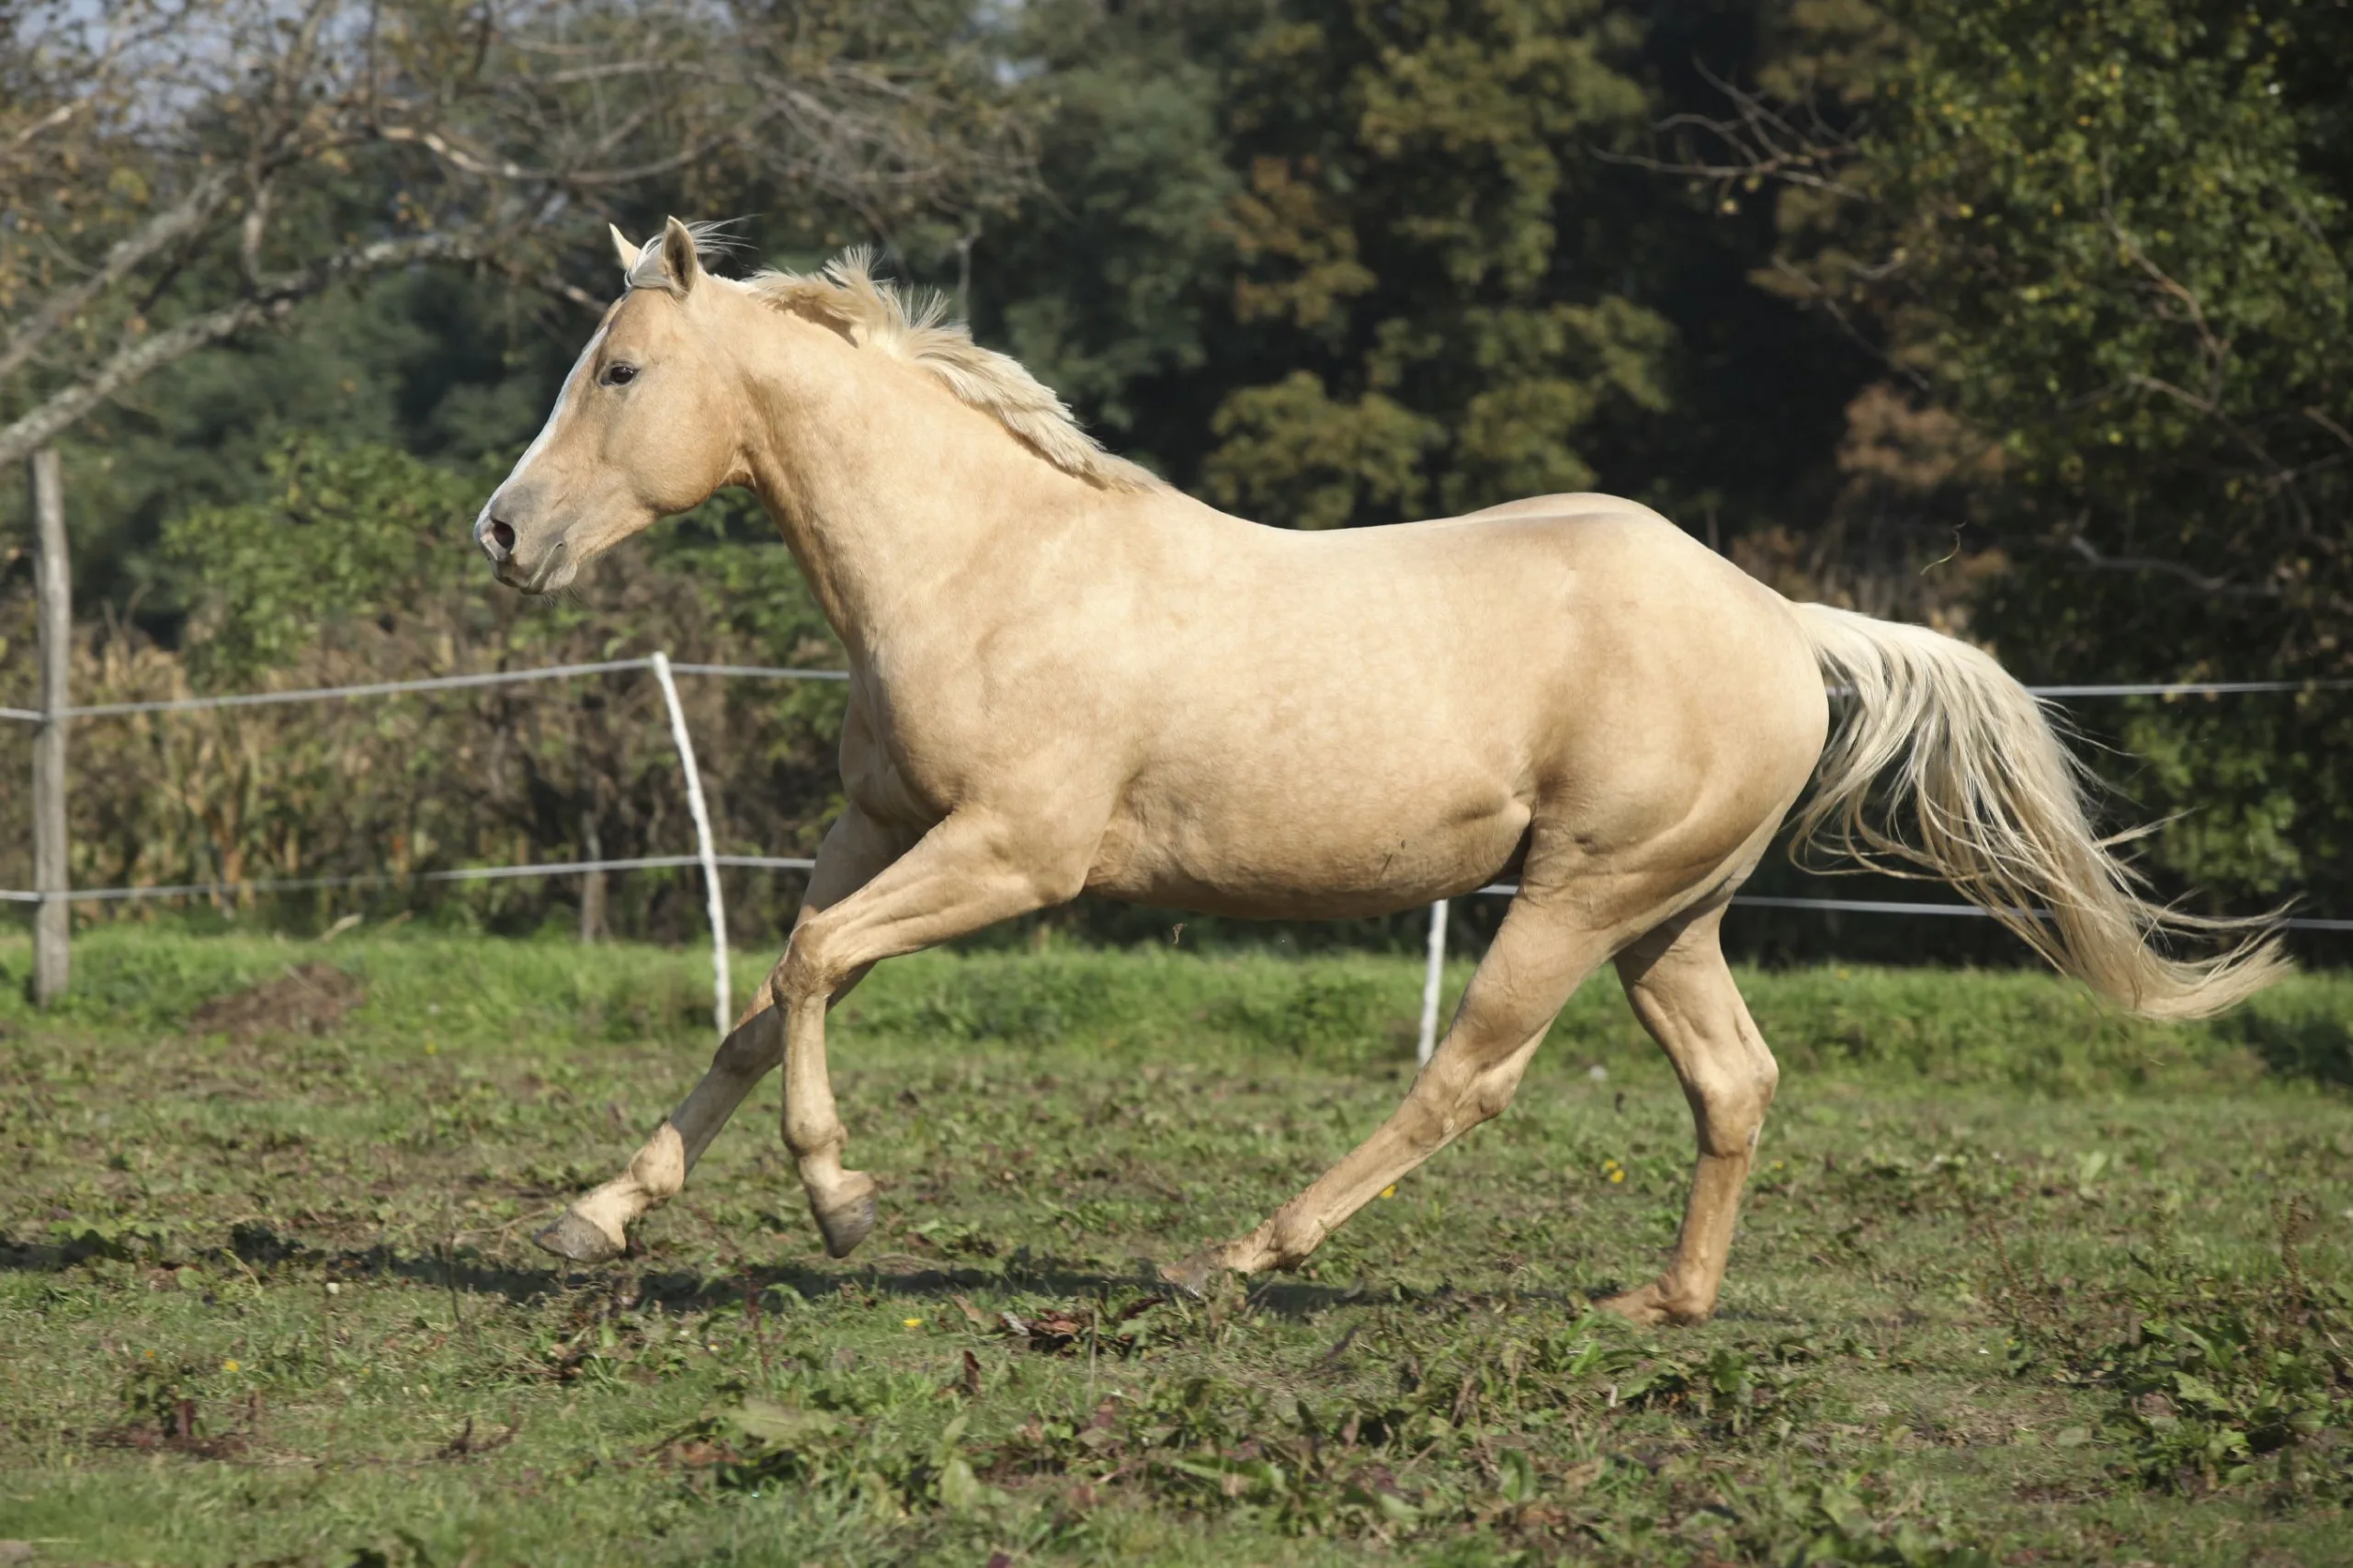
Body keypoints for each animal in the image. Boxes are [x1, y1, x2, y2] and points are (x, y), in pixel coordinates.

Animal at [474, 218, 2284, 1324]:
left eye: (620, 371)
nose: (501, 533)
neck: (988, 563)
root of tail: (1783, 620)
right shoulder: (881, 822)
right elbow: (763, 995)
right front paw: (596, 1214)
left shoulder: (1014, 854)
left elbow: (807, 965)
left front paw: (841, 1202)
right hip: (1666, 920)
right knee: (1735, 1083)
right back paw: (1662, 1304)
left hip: (1578, 897)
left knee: (1465, 1077)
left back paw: (1230, 1257)